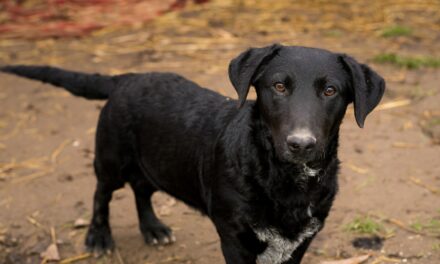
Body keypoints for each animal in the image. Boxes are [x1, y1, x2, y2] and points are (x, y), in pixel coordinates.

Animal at [0, 44, 384, 262]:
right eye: (278, 86)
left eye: (330, 91)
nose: (301, 144)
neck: (284, 181)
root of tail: (125, 77)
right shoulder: (235, 240)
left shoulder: (300, 241)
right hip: (111, 158)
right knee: (101, 193)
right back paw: (98, 237)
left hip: (154, 161)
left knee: (142, 189)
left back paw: (153, 228)